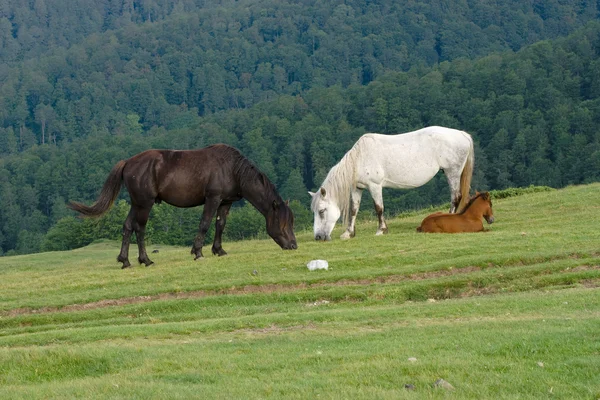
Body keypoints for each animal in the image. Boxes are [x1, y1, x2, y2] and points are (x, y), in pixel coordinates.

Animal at [68, 144, 298, 268]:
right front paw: (198, 252)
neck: (232, 169)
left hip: (136, 203)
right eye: (284, 224)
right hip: (145, 203)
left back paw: (125, 261)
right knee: (139, 228)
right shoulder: (213, 199)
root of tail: (128, 163)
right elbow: (205, 224)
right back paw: (145, 259)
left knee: (127, 227)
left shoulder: (225, 202)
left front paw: (219, 250)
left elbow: (220, 225)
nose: (294, 246)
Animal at [310, 126, 474, 241]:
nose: (318, 237)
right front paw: (349, 233)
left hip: (452, 173)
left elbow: (379, 208)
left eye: (321, 211)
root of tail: (462, 134)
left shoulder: (375, 186)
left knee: (455, 198)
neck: (359, 158)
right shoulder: (357, 188)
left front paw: (381, 230)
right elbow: (354, 210)